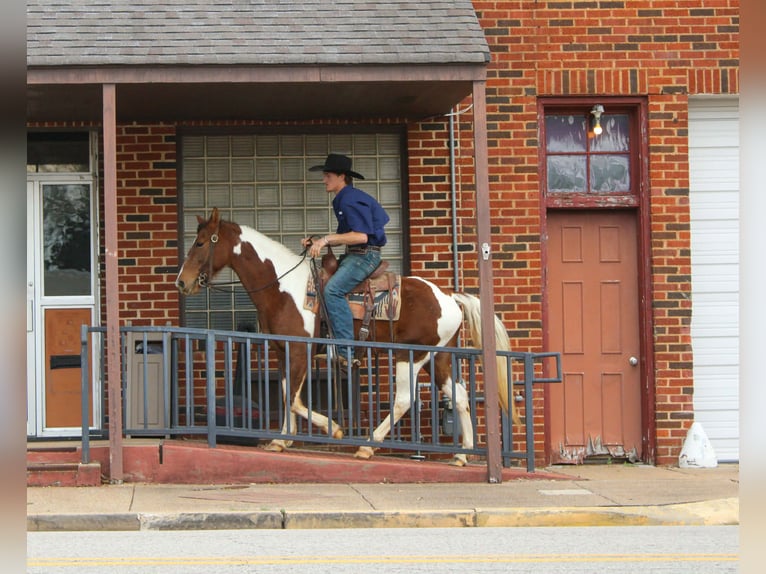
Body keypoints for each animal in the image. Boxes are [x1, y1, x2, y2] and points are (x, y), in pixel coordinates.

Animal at [175, 207, 518, 466]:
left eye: (202, 243)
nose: (182, 282)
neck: (283, 288)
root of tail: (449, 297)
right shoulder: (283, 350)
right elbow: (287, 393)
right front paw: (282, 439)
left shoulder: (299, 350)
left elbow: (293, 398)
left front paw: (333, 430)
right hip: (439, 357)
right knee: (458, 396)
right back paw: (462, 455)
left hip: (411, 355)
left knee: (404, 399)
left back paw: (368, 445)